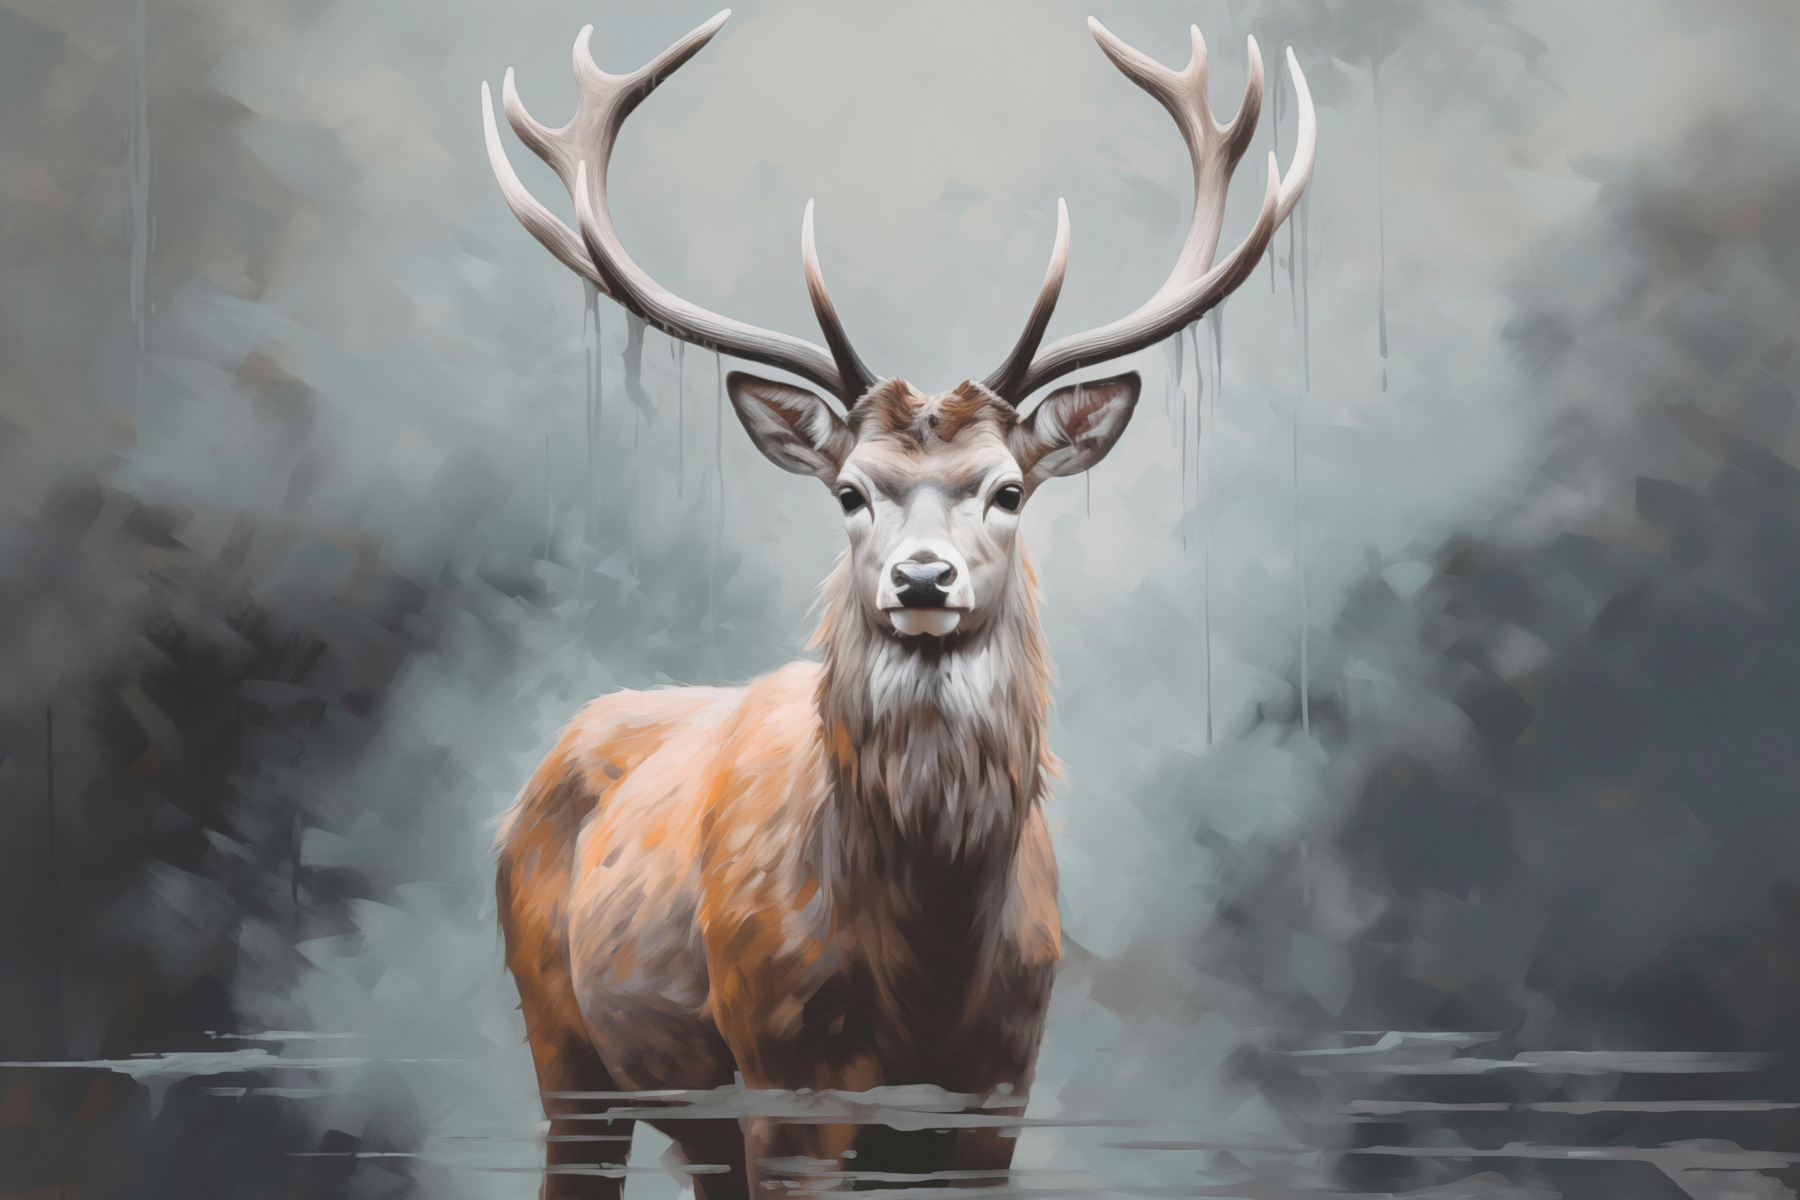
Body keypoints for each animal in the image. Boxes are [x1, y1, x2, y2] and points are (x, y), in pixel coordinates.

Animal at [480, 10, 1313, 1197]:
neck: (927, 954)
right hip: (564, 1043)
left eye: (1009, 489)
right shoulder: (784, 1078)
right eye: (849, 492)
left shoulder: (1001, 1080)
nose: (922, 580)